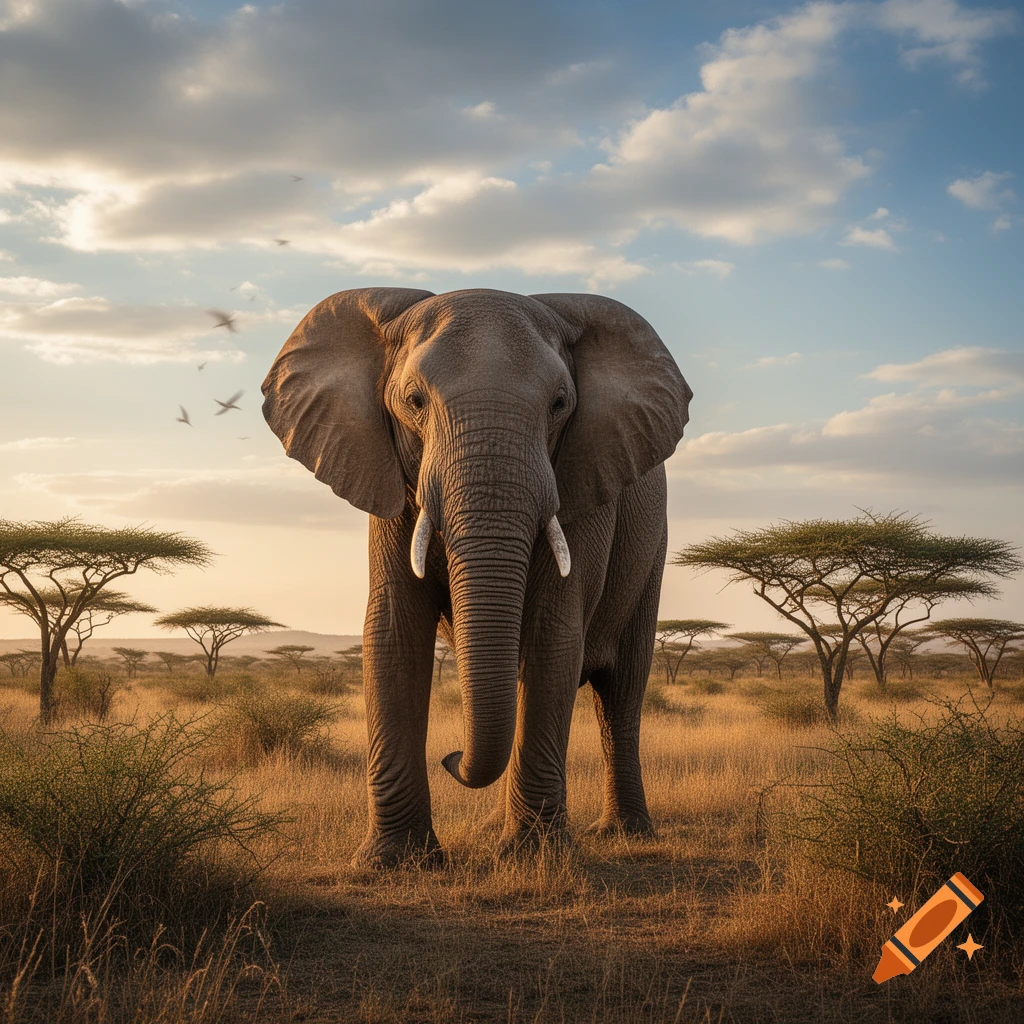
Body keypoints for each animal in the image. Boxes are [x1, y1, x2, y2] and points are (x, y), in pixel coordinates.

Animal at [262, 287, 692, 867]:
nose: (451, 755)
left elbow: (553, 635)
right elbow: (393, 633)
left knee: (620, 690)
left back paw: (624, 833)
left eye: (560, 404)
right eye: (414, 401)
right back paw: (497, 829)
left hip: (652, 548)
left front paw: (533, 858)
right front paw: (394, 862)